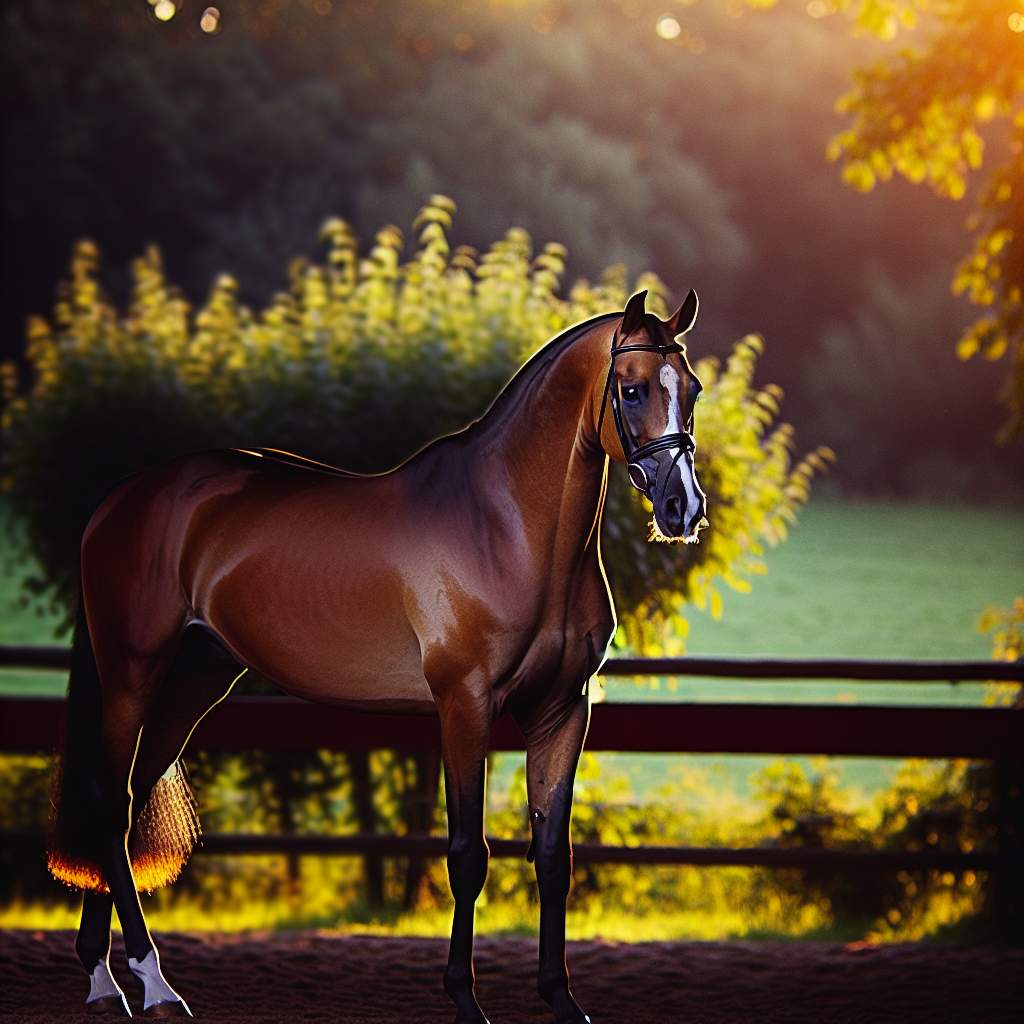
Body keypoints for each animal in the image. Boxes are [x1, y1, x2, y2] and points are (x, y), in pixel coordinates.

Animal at [48, 286, 704, 1015]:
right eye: (633, 388)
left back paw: (106, 978)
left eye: (693, 389)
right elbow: (467, 856)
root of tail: (119, 501)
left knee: (129, 800)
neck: (506, 527)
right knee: (110, 803)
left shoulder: (562, 711)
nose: (682, 508)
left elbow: (554, 856)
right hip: (131, 674)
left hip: (195, 680)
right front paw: (465, 1000)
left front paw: (561, 1001)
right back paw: (153, 982)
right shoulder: (465, 706)